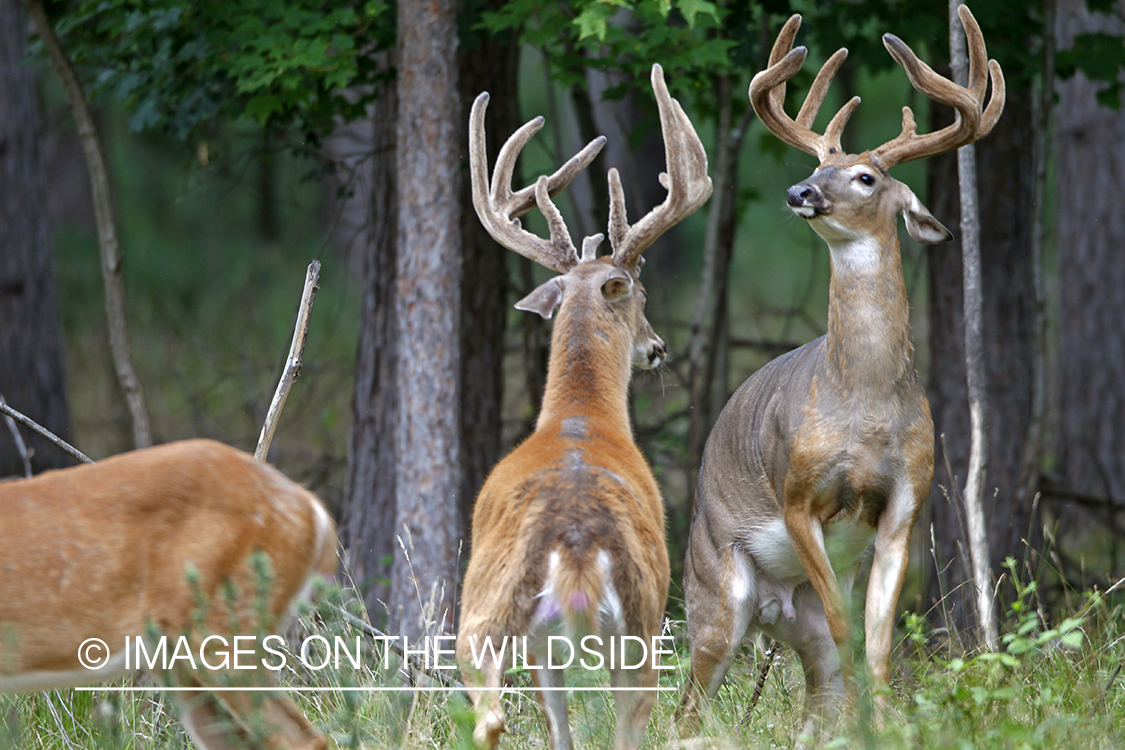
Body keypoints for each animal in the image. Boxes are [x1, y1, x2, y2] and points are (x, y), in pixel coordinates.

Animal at [456, 64, 711, 750]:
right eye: (641, 293)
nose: (657, 347)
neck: (580, 414)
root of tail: (573, 544)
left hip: (489, 615)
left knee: (492, 715)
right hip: (644, 624)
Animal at [679, 5, 1008, 737]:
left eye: (865, 177)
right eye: (816, 162)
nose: (799, 190)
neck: (863, 404)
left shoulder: (908, 497)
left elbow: (876, 639)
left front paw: (883, 726)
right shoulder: (798, 492)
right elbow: (844, 624)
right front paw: (871, 724)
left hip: (783, 610)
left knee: (811, 688)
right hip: (713, 590)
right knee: (684, 704)